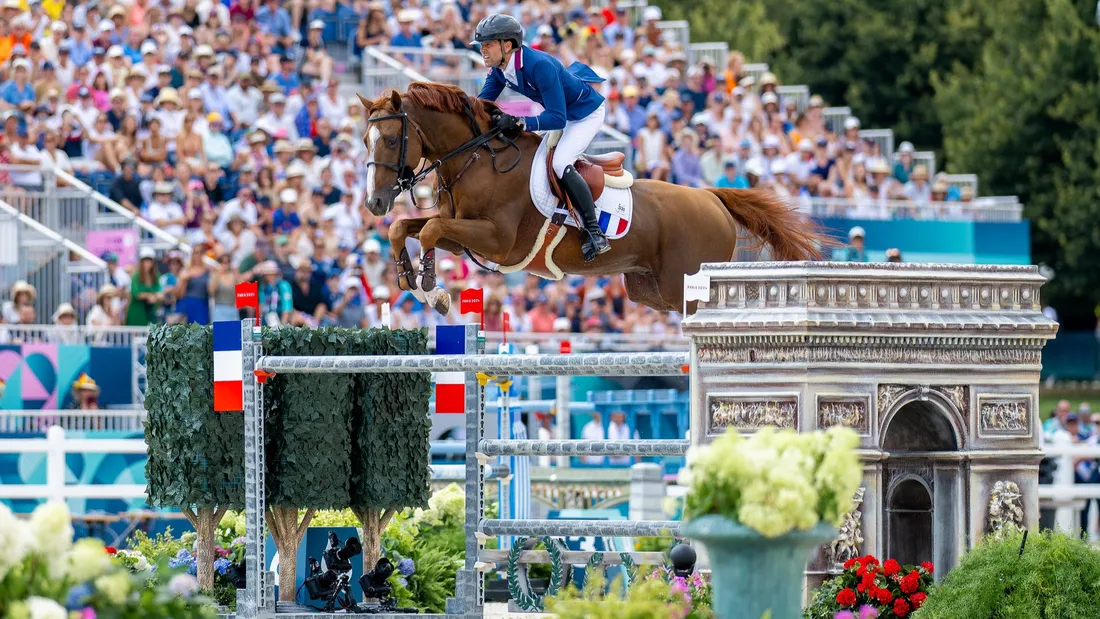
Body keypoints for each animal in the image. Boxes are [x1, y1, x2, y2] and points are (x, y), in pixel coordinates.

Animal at [360, 83, 827, 314]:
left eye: (389, 139)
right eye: (365, 140)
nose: (374, 204)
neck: (477, 158)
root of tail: (711, 199)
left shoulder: (497, 239)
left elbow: (430, 229)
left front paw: (433, 292)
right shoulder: (464, 238)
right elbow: (406, 228)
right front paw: (409, 279)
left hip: (685, 287)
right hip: (647, 291)